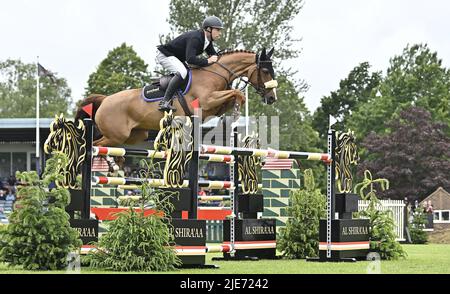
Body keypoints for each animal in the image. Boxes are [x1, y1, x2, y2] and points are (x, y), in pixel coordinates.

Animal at [74, 47, 278, 147]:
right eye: (266, 71)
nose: (272, 98)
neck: (216, 73)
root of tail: (105, 100)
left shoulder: (213, 107)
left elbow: (235, 96)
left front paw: (234, 113)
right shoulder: (206, 101)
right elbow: (237, 92)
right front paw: (236, 110)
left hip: (135, 135)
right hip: (115, 135)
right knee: (96, 144)